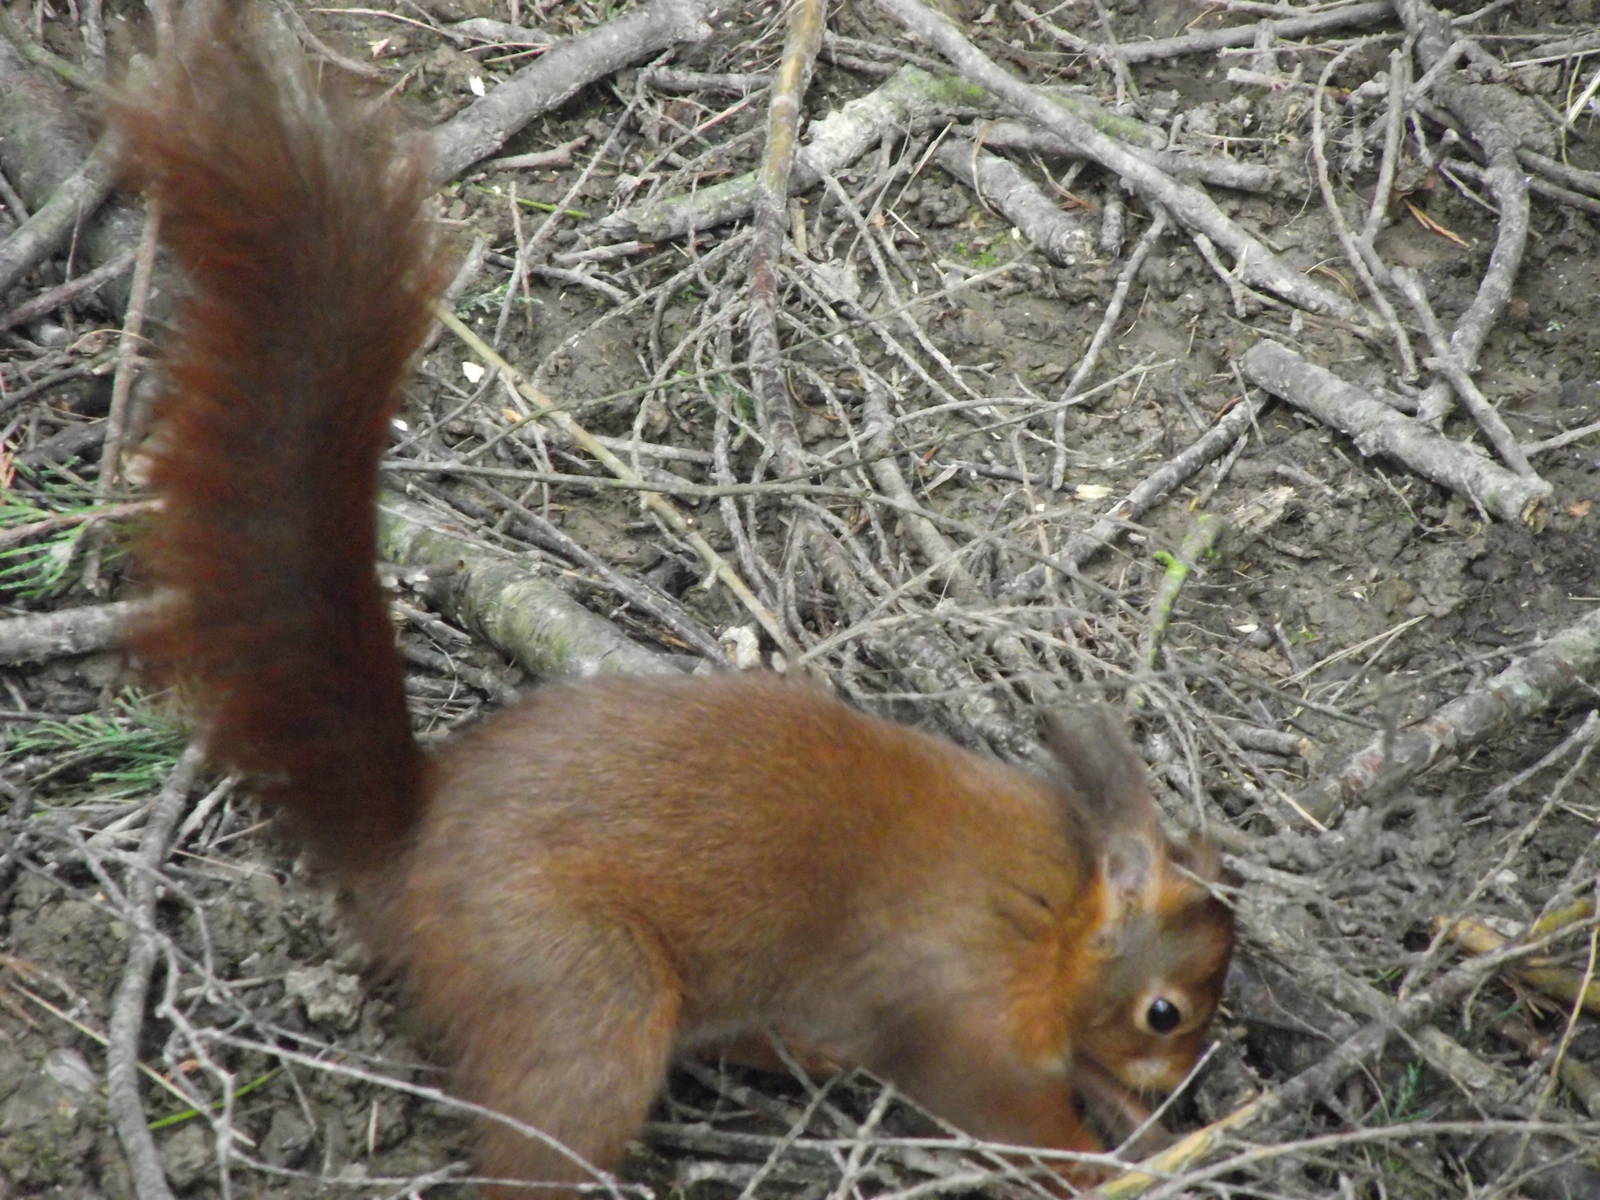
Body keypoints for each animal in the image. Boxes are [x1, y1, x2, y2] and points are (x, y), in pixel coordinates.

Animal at [118, 11, 1234, 1198]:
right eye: (1164, 1013)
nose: (1177, 1087)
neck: (1058, 896)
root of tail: (409, 850)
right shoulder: (960, 1011)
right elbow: (1016, 1119)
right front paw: (1146, 1158)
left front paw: (1154, 1127)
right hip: (580, 995)